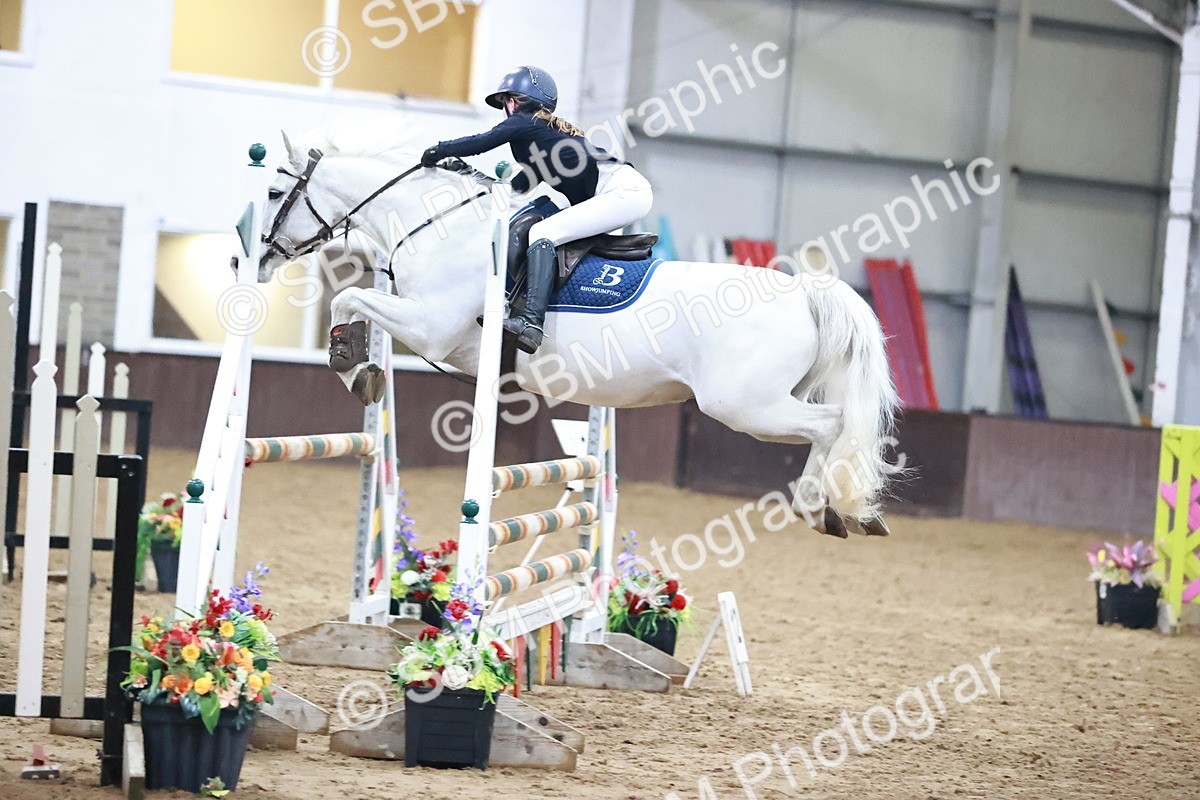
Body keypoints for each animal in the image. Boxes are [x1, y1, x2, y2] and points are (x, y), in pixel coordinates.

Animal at [255, 127, 900, 538]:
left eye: (272, 191)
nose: (256, 260)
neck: (434, 222)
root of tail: (805, 290)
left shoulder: (429, 327)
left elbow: (348, 296)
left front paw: (349, 362)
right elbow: (358, 301)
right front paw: (361, 367)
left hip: (745, 406)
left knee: (831, 424)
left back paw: (821, 509)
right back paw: (841, 514)